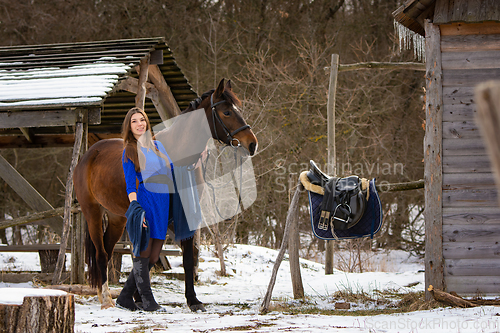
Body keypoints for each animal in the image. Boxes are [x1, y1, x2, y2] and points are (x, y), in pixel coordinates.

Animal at [74, 79, 258, 310]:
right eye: (226, 112)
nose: (252, 143)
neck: (177, 158)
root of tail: (89, 154)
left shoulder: (185, 215)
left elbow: (186, 258)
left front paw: (192, 300)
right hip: (93, 212)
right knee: (100, 253)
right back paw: (107, 298)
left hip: (117, 218)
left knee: (107, 251)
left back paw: (102, 294)